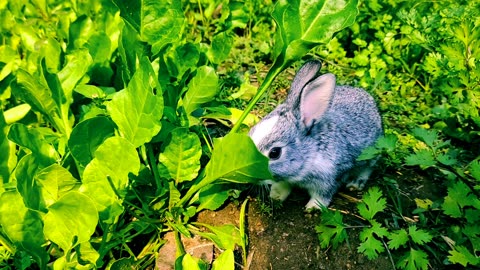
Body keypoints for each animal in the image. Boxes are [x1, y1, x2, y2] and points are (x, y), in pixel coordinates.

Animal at [248, 60, 382, 210]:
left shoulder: (330, 178)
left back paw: (355, 184)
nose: (249, 175)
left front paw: (313, 207)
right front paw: (276, 196)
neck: (310, 153)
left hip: (371, 155)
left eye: (275, 153)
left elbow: (323, 195)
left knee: (367, 168)